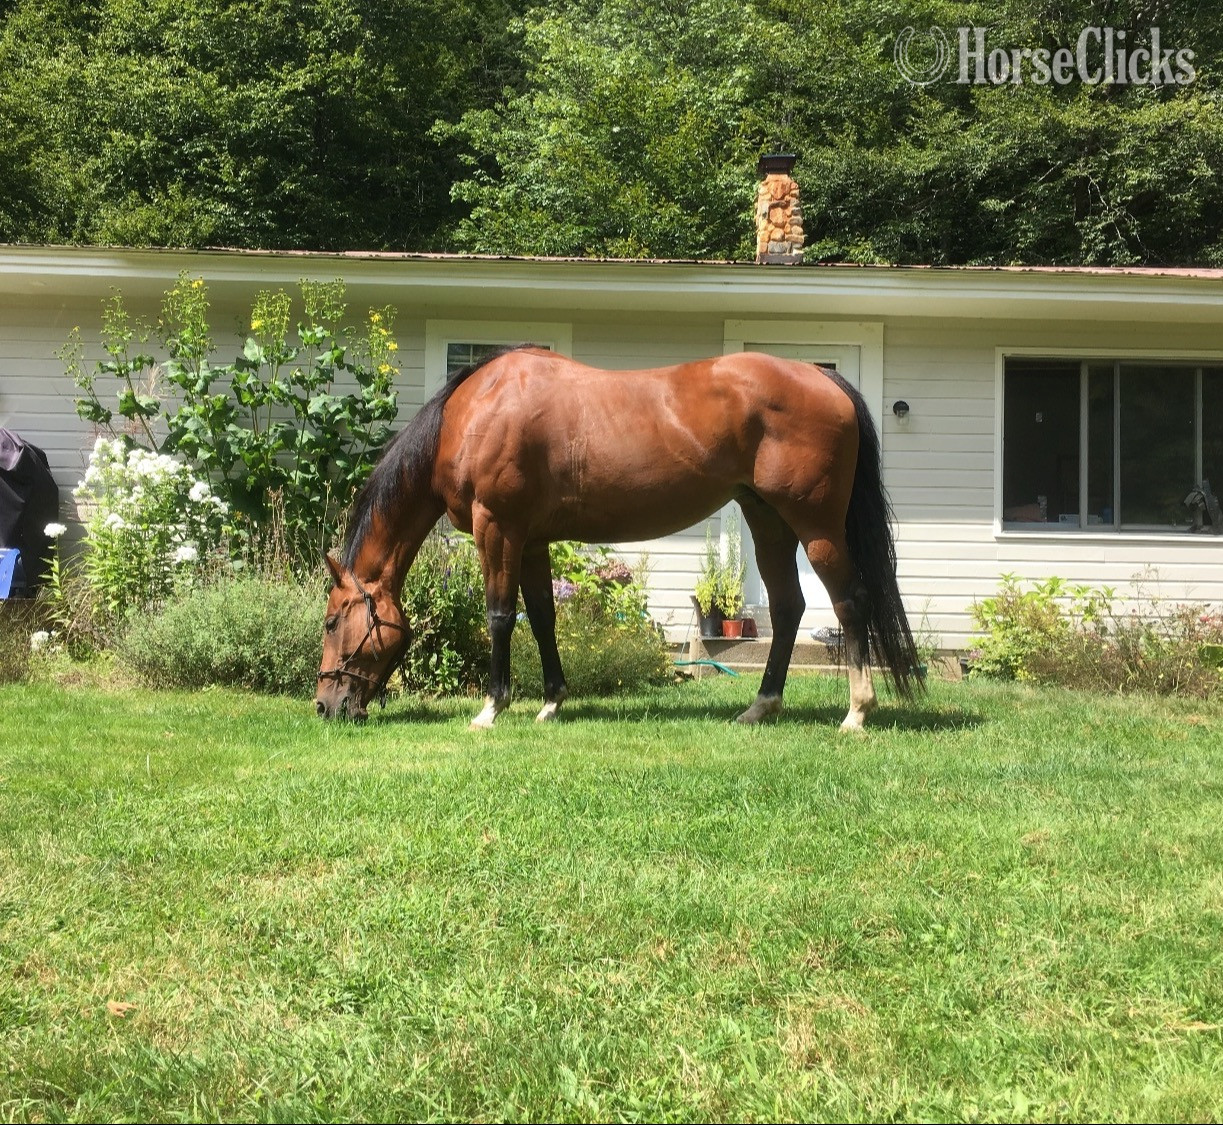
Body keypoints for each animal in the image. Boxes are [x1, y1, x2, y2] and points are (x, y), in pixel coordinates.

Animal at [316, 346, 922, 730]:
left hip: (814, 523)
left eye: (330, 621)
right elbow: (542, 617)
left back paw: (855, 713)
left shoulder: (499, 528)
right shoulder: (530, 539)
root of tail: (822, 377)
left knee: (850, 601)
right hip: (767, 517)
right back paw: (760, 707)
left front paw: (491, 709)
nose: (326, 705)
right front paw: (551, 703)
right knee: (789, 604)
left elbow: (500, 616)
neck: (471, 415)